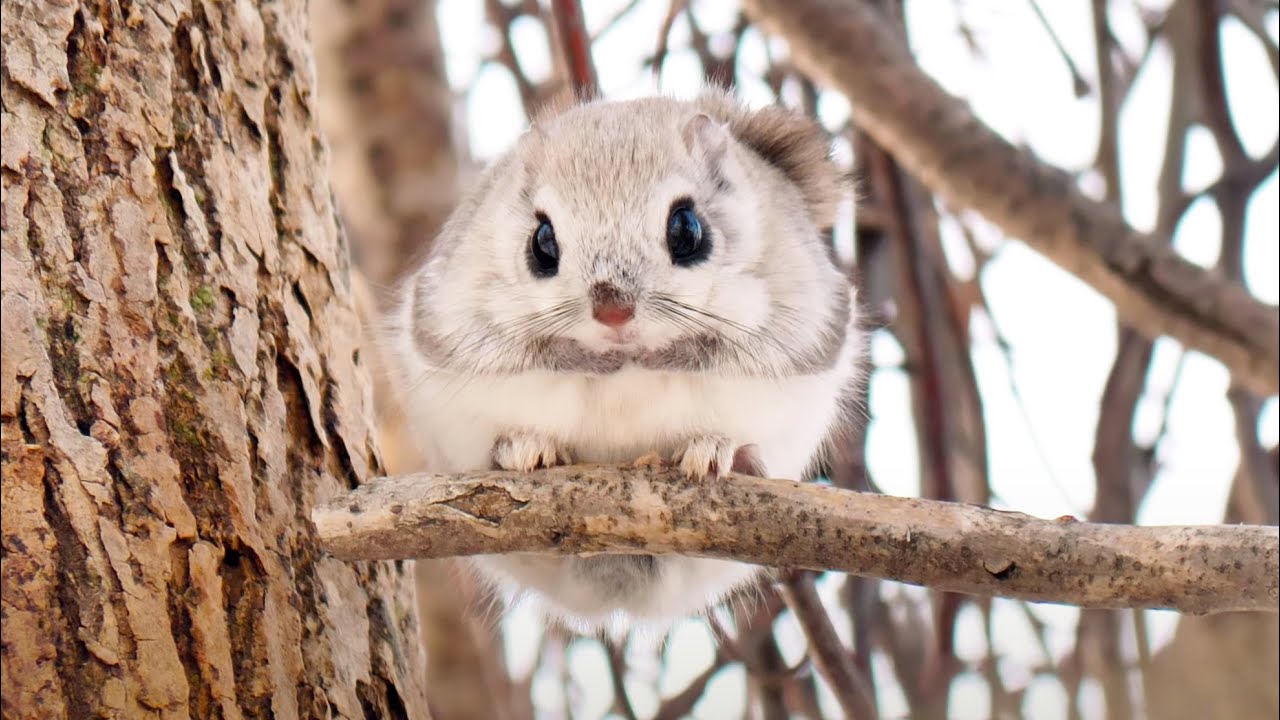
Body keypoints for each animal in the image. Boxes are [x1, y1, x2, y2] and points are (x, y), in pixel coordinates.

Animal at [376, 90, 864, 633]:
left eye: (687, 229)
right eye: (541, 242)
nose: (613, 310)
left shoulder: (796, 325)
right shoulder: (458, 324)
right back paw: (523, 450)